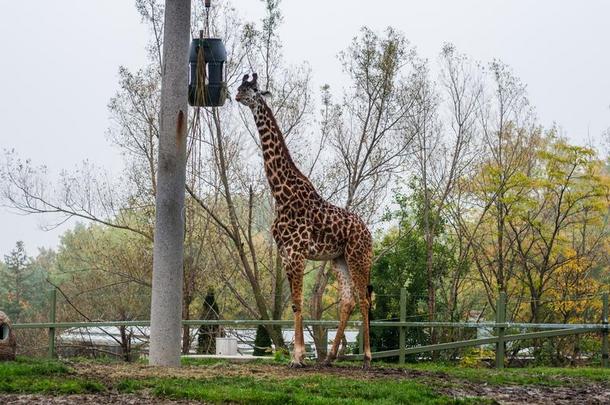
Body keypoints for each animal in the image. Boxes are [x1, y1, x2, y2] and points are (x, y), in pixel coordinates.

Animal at [235, 73, 372, 370]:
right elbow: (296, 304)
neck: (280, 193)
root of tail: (370, 232)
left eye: (253, 89)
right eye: (240, 86)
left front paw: (297, 358)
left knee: (365, 299)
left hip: (358, 256)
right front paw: (297, 356)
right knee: (348, 300)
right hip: (338, 259)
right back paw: (330, 357)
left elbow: (298, 302)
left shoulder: (296, 252)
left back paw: (367, 357)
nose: (237, 96)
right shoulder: (286, 252)